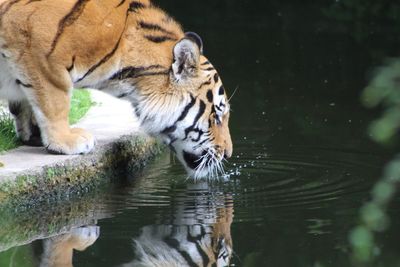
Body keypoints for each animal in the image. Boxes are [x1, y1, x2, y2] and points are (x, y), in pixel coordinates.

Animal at [0, 0, 231, 180]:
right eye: (216, 117)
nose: (228, 154)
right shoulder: (39, 51)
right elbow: (54, 99)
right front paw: (65, 140)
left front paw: (33, 134)